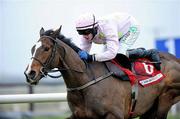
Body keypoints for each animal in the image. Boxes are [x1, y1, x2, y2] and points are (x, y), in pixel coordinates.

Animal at [24, 26, 180, 118]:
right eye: (32, 48)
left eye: (46, 48)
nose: (30, 73)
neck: (86, 81)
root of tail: (176, 59)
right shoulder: (78, 115)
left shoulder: (114, 115)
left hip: (165, 99)